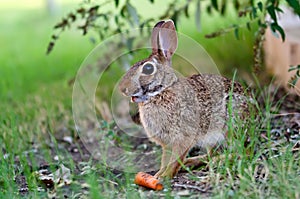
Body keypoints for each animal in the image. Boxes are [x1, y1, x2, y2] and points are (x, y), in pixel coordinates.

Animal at [118, 19, 250, 179]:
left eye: (148, 69)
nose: (122, 89)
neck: (161, 92)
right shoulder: (167, 143)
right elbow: (165, 160)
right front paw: (158, 175)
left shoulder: (183, 138)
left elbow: (175, 159)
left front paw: (165, 177)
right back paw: (193, 162)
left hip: (230, 125)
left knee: (241, 152)